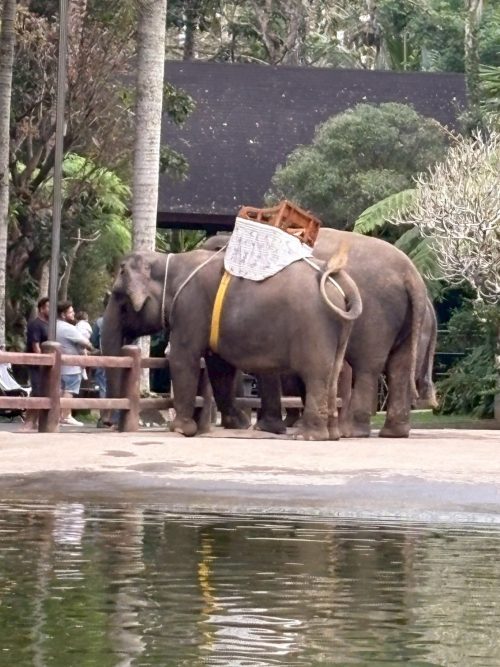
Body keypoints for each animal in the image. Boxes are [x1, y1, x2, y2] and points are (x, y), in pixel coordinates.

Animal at [101, 248, 362, 440]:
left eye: (121, 301)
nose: (108, 424)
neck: (167, 260)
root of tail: (336, 275)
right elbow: (219, 367)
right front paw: (237, 423)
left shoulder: (190, 306)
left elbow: (183, 357)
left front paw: (180, 429)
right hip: (339, 328)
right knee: (333, 373)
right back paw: (332, 435)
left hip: (314, 327)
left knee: (315, 375)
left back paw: (308, 436)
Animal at [203, 227, 430, 438]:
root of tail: (411, 276)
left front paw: (267, 428)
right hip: (408, 320)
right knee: (399, 368)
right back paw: (391, 433)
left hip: (377, 316)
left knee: (367, 366)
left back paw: (353, 432)